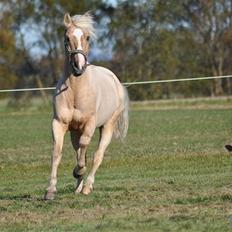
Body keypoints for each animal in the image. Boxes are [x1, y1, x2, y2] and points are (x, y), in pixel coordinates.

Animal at [44, 12, 128, 200]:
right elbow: (57, 153)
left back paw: (87, 186)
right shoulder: (59, 124)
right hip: (75, 131)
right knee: (81, 152)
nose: (78, 67)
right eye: (67, 38)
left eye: (87, 37)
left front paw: (78, 171)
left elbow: (84, 149)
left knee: (97, 155)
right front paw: (50, 190)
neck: (76, 91)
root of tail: (115, 81)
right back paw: (78, 187)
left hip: (107, 126)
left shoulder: (89, 125)